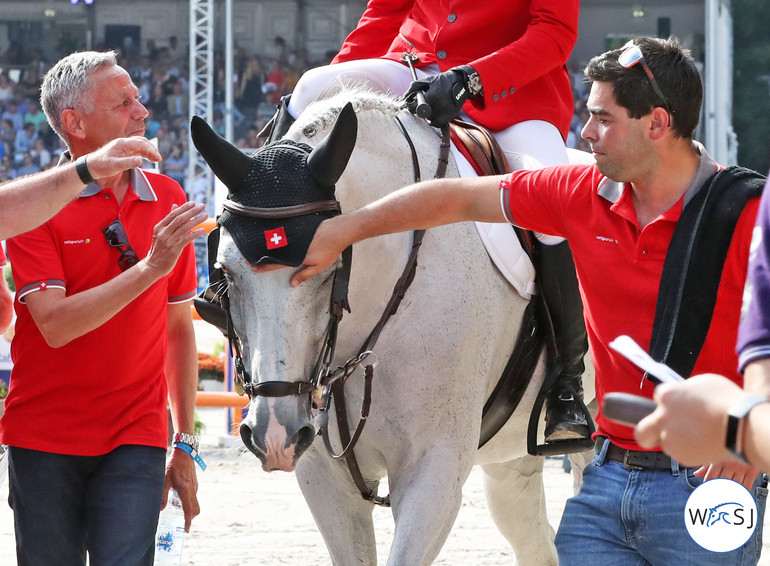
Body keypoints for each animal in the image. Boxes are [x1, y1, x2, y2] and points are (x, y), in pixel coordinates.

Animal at [190, 90, 592, 566]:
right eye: (225, 273)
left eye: (328, 269)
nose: (273, 434)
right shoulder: (323, 477)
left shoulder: (433, 471)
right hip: (509, 460)